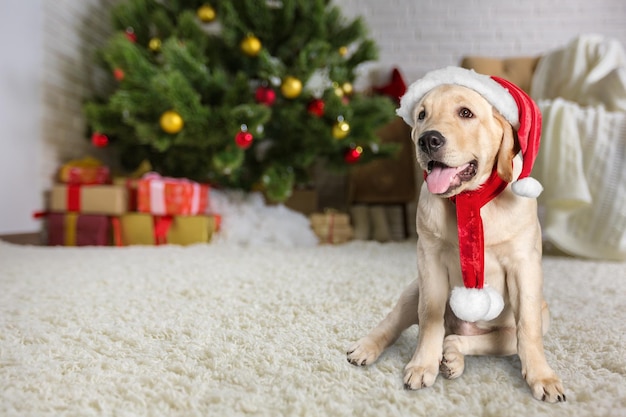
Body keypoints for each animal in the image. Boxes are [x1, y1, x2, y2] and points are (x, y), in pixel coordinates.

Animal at [346, 66, 564, 402]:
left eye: (465, 113)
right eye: (422, 114)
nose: (428, 140)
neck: (470, 200)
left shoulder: (524, 265)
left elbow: (527, 329)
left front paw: (542, 376)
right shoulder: (429, 261)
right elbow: (429, 318)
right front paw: (423, 364)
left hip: (539, 318)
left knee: (497, 340)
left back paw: (453, 355)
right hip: (413, 289)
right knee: (395, 322)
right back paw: (370, 347)